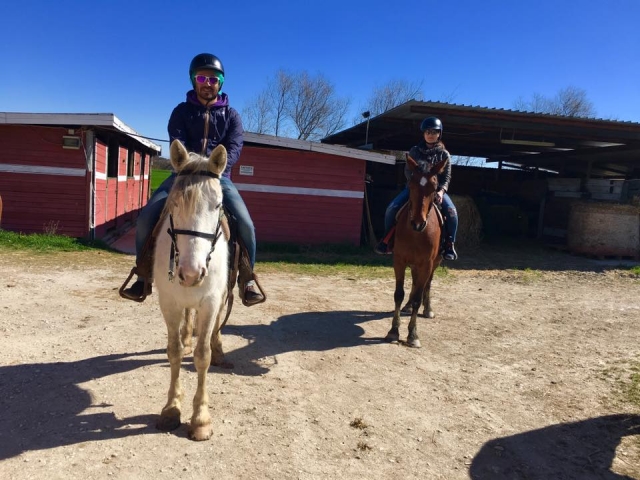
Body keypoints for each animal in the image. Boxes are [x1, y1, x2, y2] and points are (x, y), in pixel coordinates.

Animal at [153, 140, 229, 441]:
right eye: (174, 203)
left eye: (218, 205)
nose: (191, 273)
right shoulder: (169, 302)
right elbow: (173, 351)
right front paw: (171, 408)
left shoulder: (210, 303)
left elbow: (202, 356)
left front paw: (200, 419)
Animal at [385, 154, 448, 348]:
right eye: (411, 184)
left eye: (434, 187)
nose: (418, 223)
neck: (416, 233)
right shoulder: (399, 261)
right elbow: (398, 294)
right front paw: (393, 331)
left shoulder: (426, 264)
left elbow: (418, 298)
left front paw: (413, 335)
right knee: (413, 284)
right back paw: (406, 306)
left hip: (434, 263)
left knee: (427, 285)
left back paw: (428, 310)